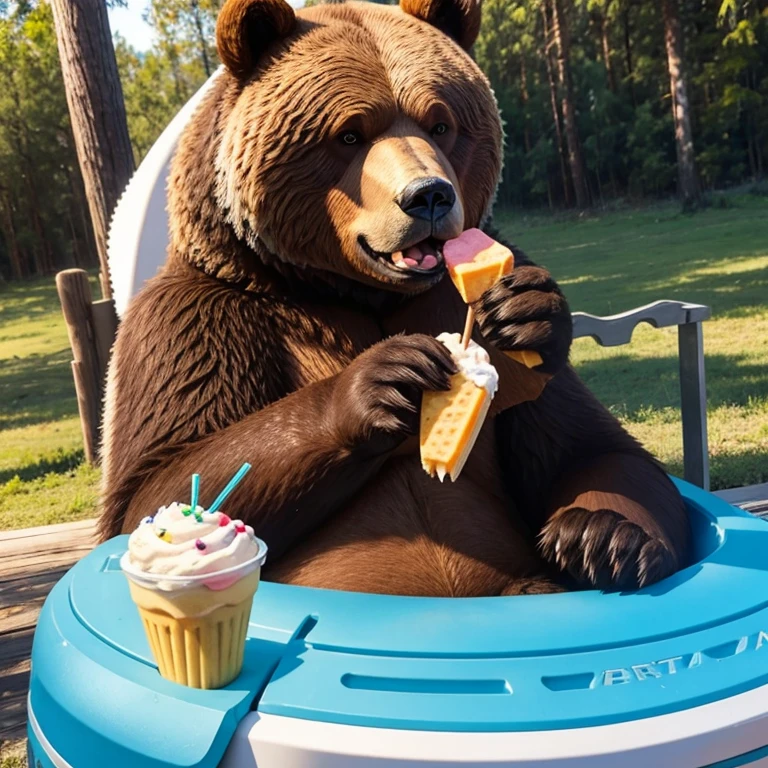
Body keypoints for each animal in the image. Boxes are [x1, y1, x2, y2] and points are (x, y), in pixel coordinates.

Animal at [99, 0, 692, 592]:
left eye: (441, 123)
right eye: (348, 133)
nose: (429, 195)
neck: (365, 294)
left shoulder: (502, 340)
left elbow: (586, 445)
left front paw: (600, 536)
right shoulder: (202, 319)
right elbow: (157, 485)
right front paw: (389, 374)